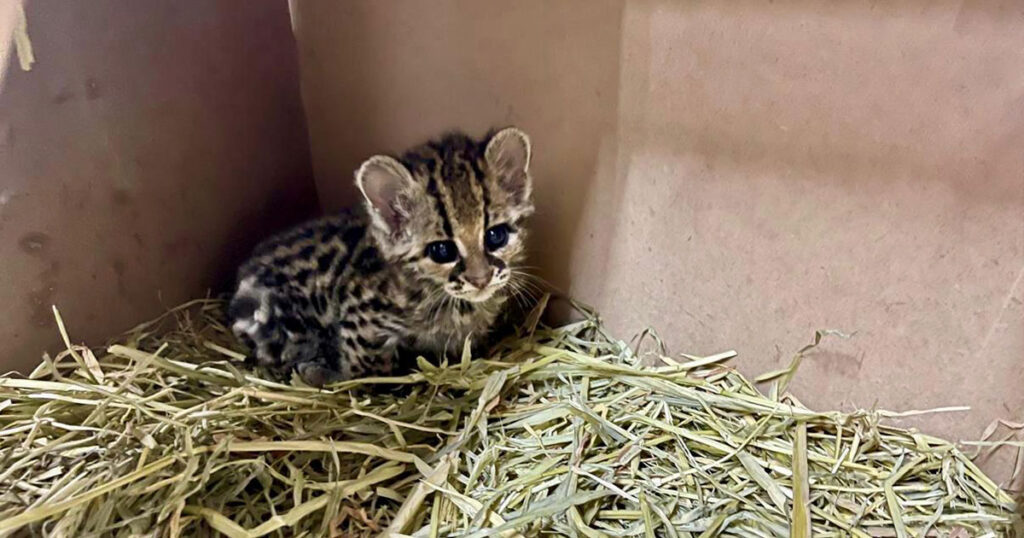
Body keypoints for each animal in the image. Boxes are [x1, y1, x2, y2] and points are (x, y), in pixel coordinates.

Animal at [228, 127, 532, 383]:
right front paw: (333, 375)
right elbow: (365, 369)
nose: (481, 280)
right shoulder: (359, 317)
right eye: (442, 250)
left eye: (495, 235)